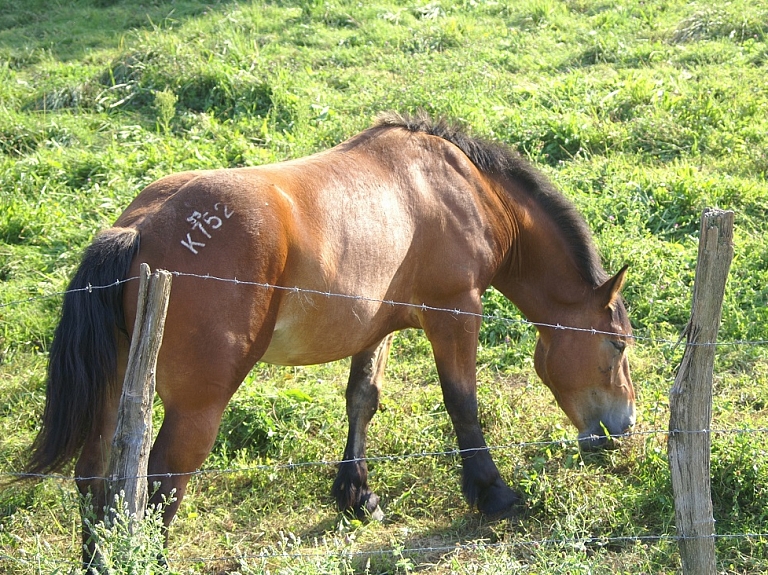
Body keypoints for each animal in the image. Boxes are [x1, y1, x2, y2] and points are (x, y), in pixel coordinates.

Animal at [25, 111, 636, 564]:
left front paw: (356, 494)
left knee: (96, 479)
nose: (624, 426)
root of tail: (137, 228)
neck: (462, 190)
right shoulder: (456, 315)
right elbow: (462, 404)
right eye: (618, 345)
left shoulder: (375, 328)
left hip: (116, 395)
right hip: (196, 408)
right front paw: (492, 492)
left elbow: (362, 399)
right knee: (160, 485)